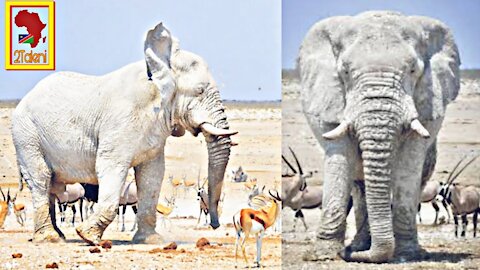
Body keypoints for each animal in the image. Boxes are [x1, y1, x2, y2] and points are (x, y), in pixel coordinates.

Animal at [10, 22, 236, 245]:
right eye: (199, 91)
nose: (215, 225)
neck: (158, 75)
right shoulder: (120, 123)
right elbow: (111, 166)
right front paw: (87, 236)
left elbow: (152, 175)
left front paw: (150, 240)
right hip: (26, 135)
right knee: (41, 178)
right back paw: (49, 238)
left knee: (51, 186)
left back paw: (59, 236)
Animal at [300, 11, 462, 262]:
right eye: (345, 72)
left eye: (413, 71)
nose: (347, 254)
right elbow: (340, 156)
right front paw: (323, 255)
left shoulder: (431, 100)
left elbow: (409, 163)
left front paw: (408, 254)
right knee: (360, 188)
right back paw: (360, 244)